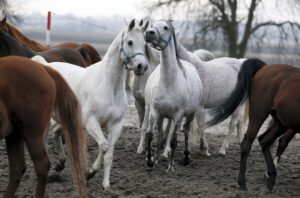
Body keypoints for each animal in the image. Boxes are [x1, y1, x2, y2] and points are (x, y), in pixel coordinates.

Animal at [32, 19, 149, 190]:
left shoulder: (115, 125)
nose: (142, 66)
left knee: (56, 132)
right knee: (44, 139)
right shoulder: (91, 122)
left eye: (145, 43)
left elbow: (109, 153)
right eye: (130, 42)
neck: (108, 85)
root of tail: (46, 65)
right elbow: (104, 145)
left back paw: (60, 164)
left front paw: (105, 185)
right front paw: (90, 172)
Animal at [142, 20, 203, 170]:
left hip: (190, 114)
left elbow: (174, 140)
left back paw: (185, 157)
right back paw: (157, 158)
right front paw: (150, 160)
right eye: (152, 24)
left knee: (185, 131)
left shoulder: (178, 115)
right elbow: (151, 135)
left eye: (165, 27)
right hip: (162, 116)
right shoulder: (155, 112)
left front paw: (170, 167)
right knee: (160, 135)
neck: (168, 83)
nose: (149, 33)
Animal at [206, 58, 300, 191]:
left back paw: (270, 178)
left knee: (266, 140)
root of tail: (265, 67)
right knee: (248, 143)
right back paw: (243, 183)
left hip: (282, 123)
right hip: (259, 115)